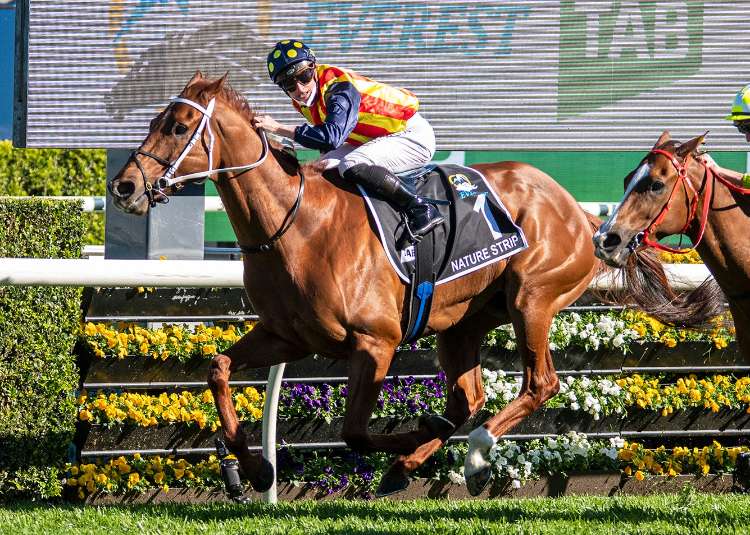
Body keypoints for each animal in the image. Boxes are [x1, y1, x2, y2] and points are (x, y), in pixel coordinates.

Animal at [108, 73, 713, 497]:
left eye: (178, 127)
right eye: (157, 120)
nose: (124, 186)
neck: (294, 223)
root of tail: (581, 214)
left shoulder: (375, 342)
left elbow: (355, 431)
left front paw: (403, 442)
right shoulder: (287, 335)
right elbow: (218, 369)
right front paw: (252, 468)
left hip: (532, 297)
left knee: (538, 384)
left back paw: (463, 456)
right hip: (465, 320)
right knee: (469, 397)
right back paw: (421, 455)